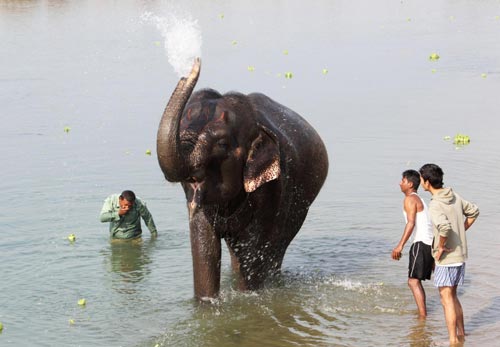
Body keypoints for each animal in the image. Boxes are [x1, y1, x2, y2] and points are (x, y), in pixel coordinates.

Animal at [156, 58, 328, 300]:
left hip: (301, 204)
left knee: (276, 247)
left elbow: (252, 250)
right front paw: (207, 302)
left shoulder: (273, 189)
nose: (194, 63)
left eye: (222, 144)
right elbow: (205, 248)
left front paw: (247, 298)